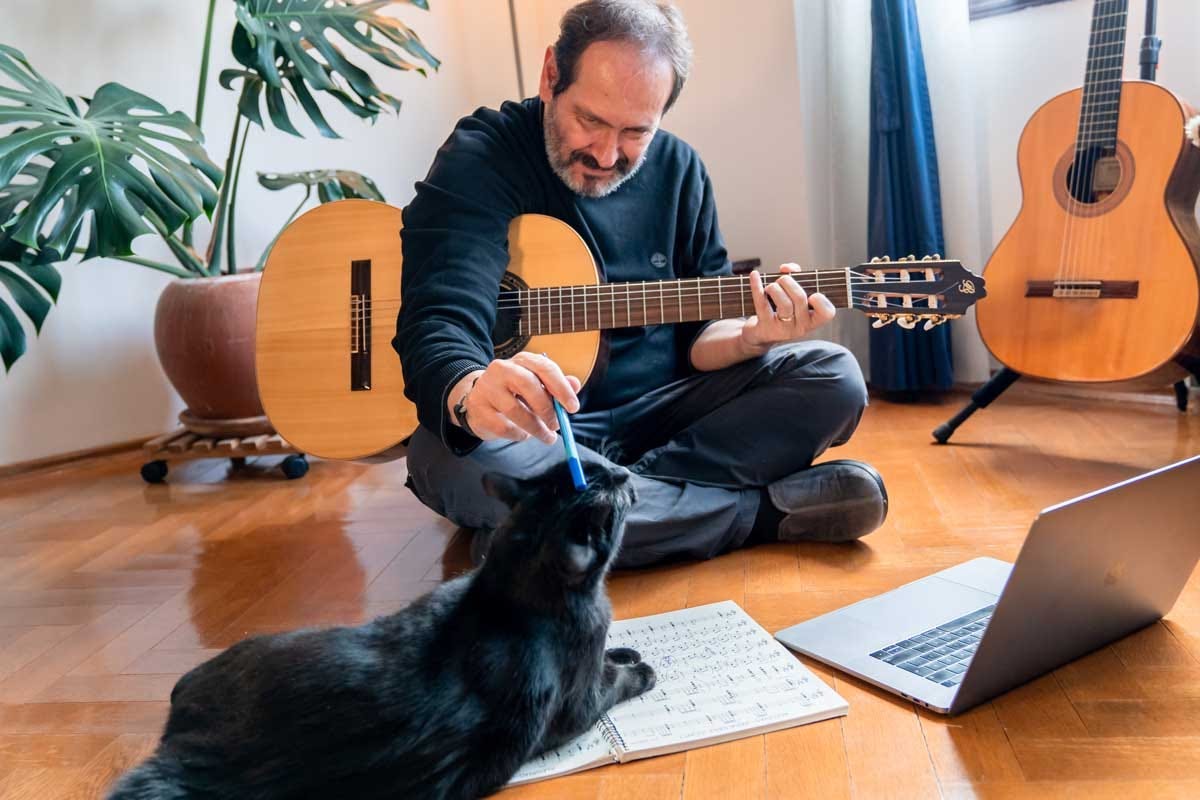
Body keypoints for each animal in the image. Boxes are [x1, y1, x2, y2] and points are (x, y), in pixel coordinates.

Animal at [109, 460, 657, 796]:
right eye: (609, 492)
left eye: (596, 469)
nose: (623, 471)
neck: (503, 588)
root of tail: (181, 704)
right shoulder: (574, 705)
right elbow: (608, 687)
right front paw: (639, 670)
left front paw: (624, 651)